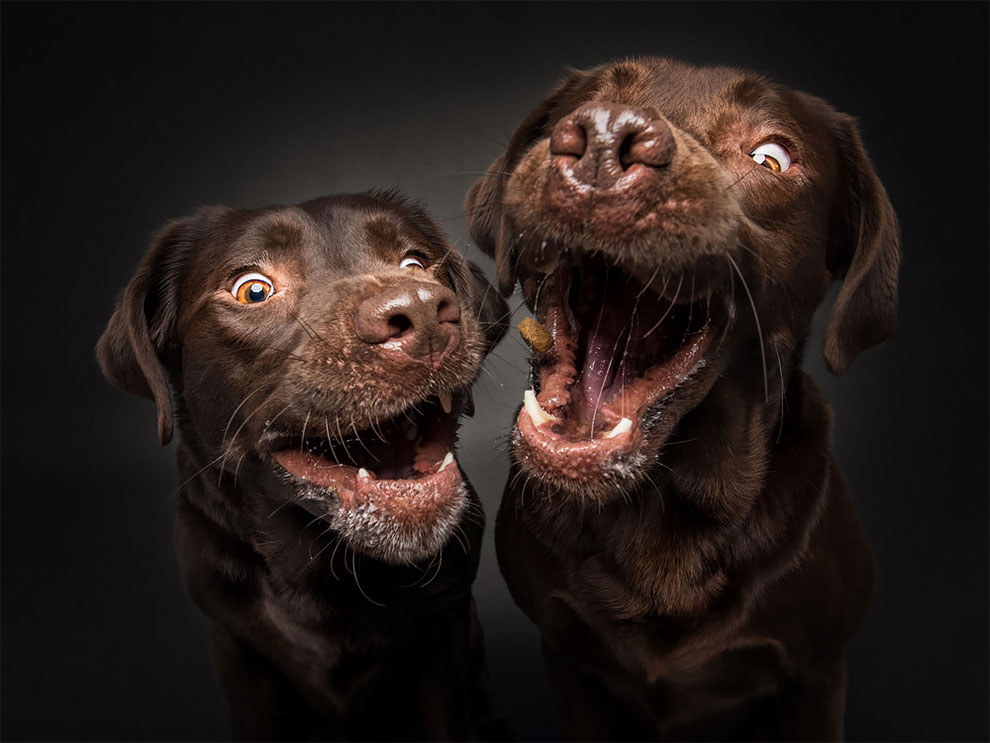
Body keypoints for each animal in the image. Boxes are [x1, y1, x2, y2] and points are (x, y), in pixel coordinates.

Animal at [98, 193, 512, 743]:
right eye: (253, 289)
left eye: (416, 264)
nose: (421, 310)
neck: (325, 565)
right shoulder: (236, 647)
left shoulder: (444, 634)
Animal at [464, 56, 900, 740]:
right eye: (583, 105)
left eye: (772, 156)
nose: (605, 140)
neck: (663, 512)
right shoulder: (569, 661)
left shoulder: (816, 673)